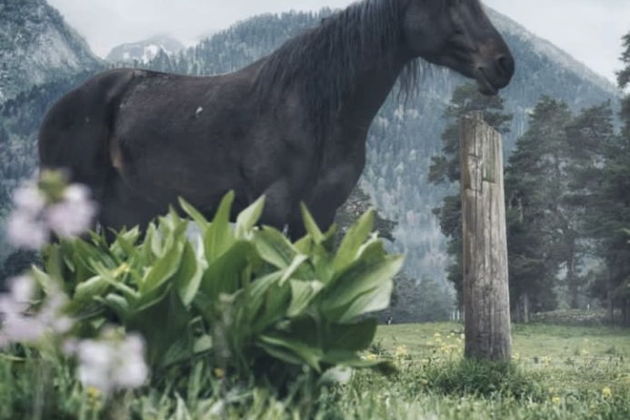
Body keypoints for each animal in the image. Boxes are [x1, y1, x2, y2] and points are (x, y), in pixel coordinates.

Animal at [38, 0, 512, 238]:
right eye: (448, 2)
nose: (503, 64)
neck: (310, 107)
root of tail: (56, 111)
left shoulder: (318, 213)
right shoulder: (271, 208)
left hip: (126, 220)